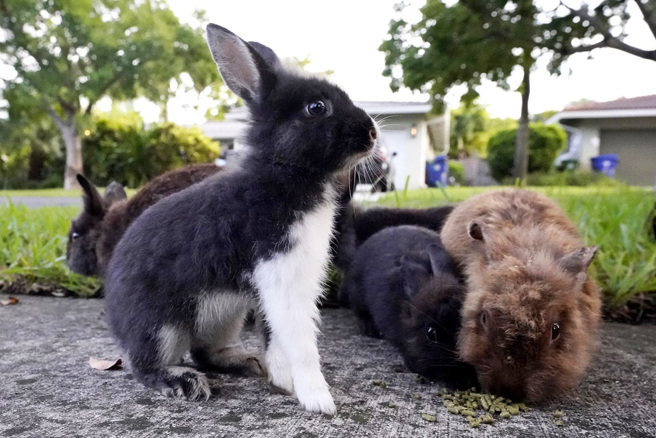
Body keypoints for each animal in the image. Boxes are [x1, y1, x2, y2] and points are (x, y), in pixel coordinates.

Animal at [103, 24, 378, 415]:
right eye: (316, 107)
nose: (372, 133)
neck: (285, 172)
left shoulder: (273, 287)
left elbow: (275, 336)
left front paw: (281, 380)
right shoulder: (281, 275)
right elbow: (300, 342)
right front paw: (318, 400)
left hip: (225, 315)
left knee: (204, 352)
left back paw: (248, 362)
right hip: (161, 327)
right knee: (144, 365)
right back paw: (183, 382)